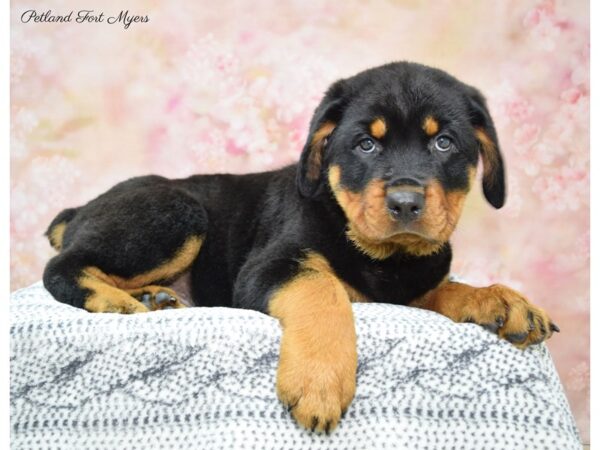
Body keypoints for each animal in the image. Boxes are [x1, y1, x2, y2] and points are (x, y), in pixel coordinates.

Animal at [42, 62, 556, 432]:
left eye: (444, 143)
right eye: (366, 145)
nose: (406, 203)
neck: (383, 258)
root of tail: (81, 208)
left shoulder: (415, 286)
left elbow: (447, 288)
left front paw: (500, 300)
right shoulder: (268, 267)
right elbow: (321, 289)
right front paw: (319, 383)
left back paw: (155, 297)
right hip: (177, 212)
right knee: (61, 266)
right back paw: (116, 301)